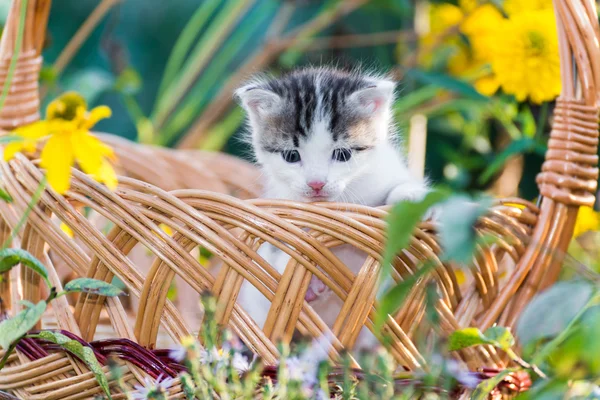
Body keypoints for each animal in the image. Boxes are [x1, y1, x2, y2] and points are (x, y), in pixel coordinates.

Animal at [236, 67, 432, 348]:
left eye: (343, 155)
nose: (316, 184)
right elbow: (285, 245)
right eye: (291, 156)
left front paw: (412, 198)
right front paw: (305, 279)